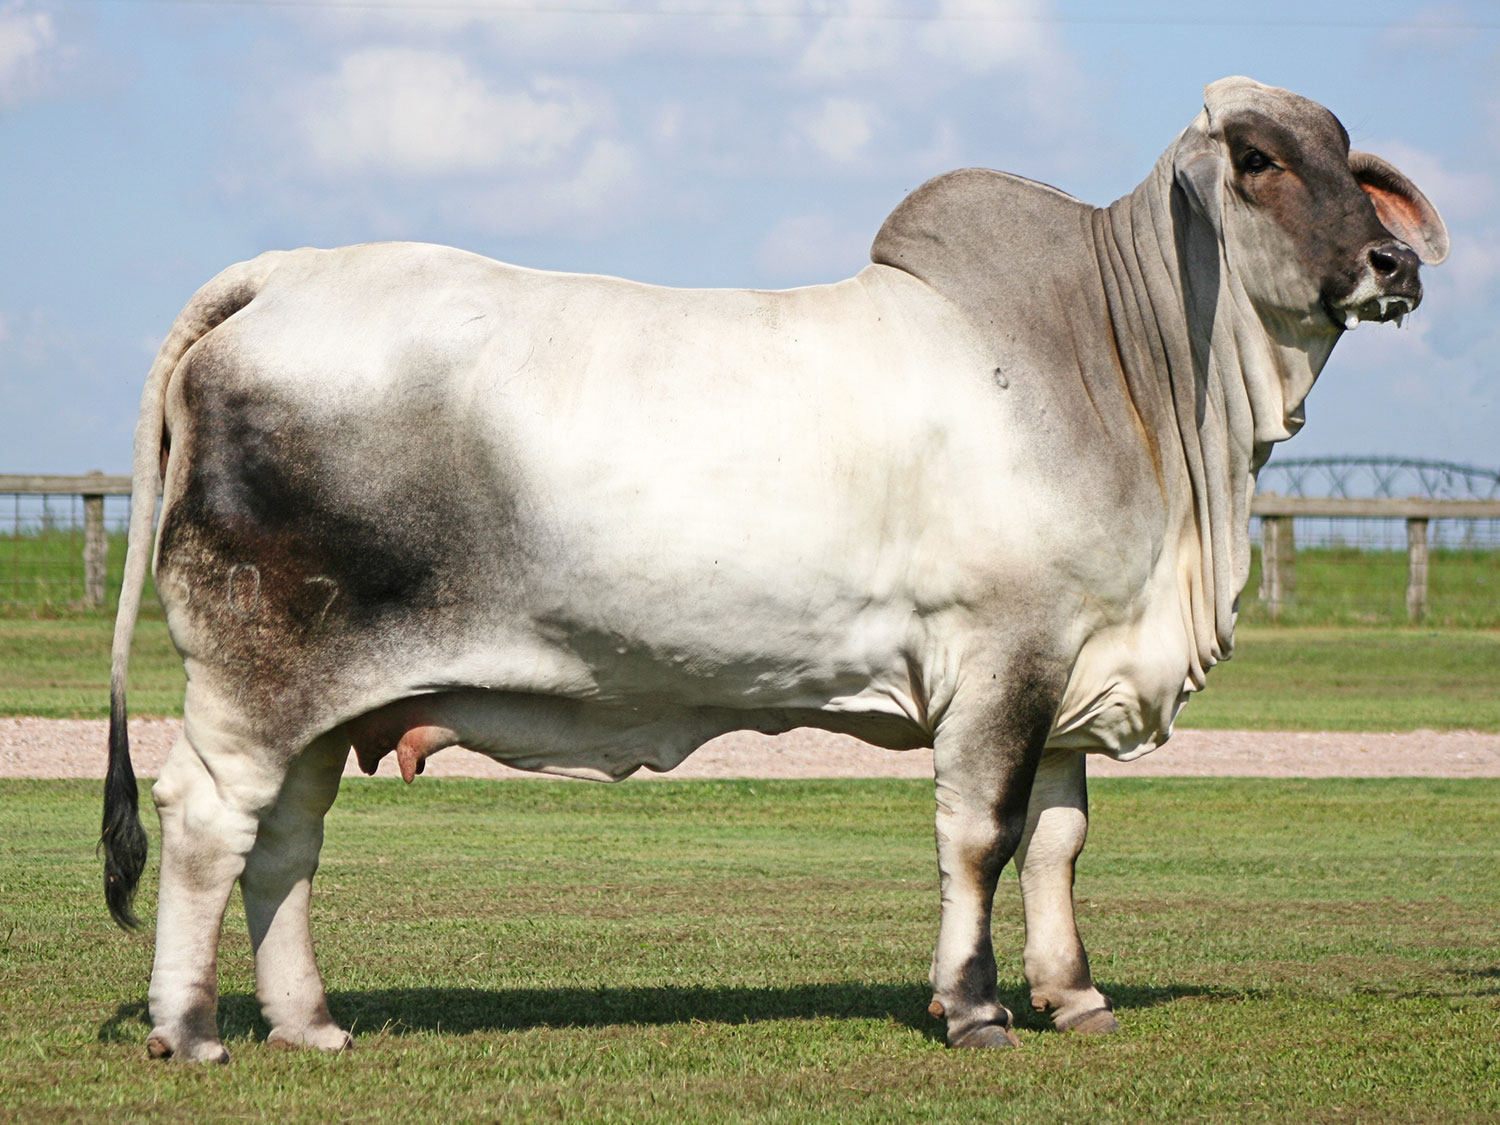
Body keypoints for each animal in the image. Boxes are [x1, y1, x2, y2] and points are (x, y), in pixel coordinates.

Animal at [102, 77, 1440, 1056]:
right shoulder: (1000, 658)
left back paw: (309, 1025)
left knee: (286, 841)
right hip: (258, 674)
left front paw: (1075, 996)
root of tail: (279, 275)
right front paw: (975, 1009)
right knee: (209, 821)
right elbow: (982, 833)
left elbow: (1058, 839)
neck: (1122, 367)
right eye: (1257, 161)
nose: (1395, 265)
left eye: (1347, 157)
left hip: (327, 704)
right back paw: (192, 1029)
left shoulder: (1072, 664)